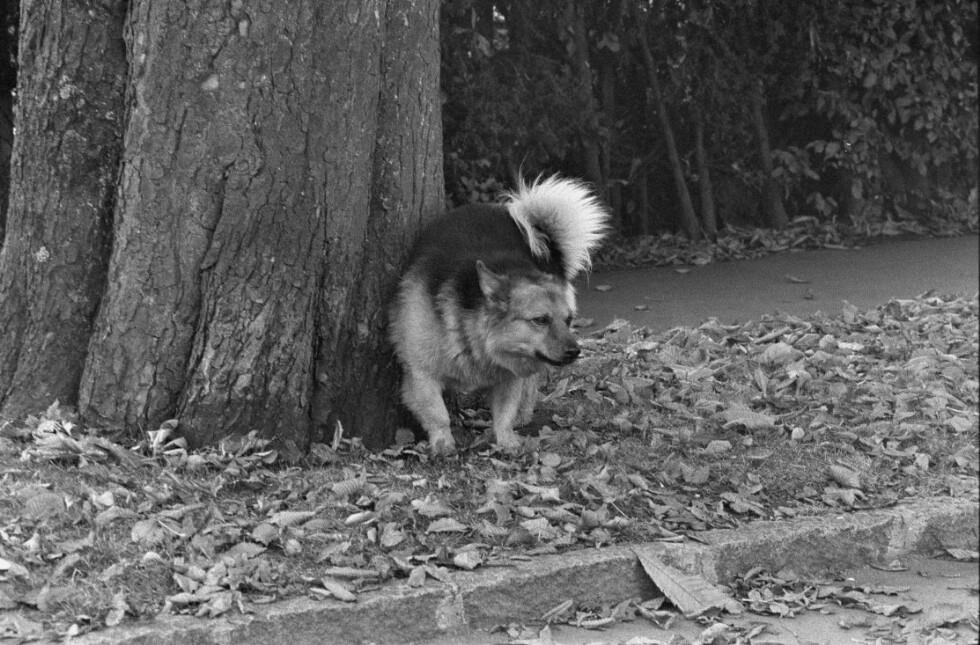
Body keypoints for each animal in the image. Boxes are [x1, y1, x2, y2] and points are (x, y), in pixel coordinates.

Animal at [389, 175, 608, 455]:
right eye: (540, 320)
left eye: (568, 320)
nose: (575, 352)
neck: (472, 336)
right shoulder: (421, 374)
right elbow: (438, 415)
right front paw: (444, 444)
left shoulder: (511, 377)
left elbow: (505, 413)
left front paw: (507, 441)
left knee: (531, 382)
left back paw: (524, 413)